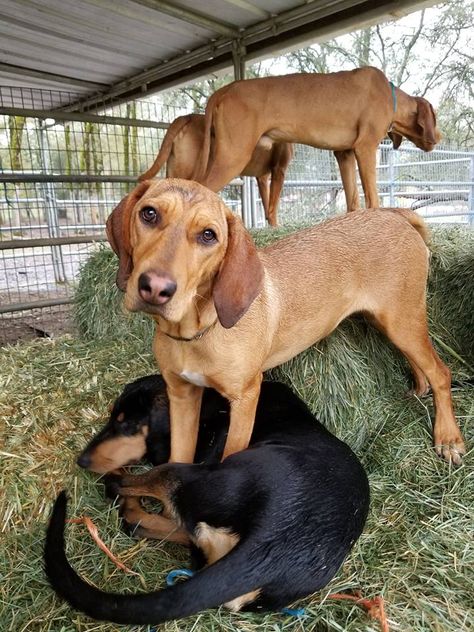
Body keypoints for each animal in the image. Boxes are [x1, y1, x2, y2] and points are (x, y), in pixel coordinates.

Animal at [44, 380, 370, 628]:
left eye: (126, 425)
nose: (82, 460)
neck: (211, 404)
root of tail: (275, 543)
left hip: (183, 473)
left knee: (131, 498)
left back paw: (119, 483)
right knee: (146, 523)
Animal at [105, 178, 464, 464]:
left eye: (208, 235)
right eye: (149, 214)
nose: (155, 288)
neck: (196, 332)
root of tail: (395, 213)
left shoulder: (246, 397)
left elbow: (232, 453)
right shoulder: (181, 397)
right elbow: (179, 457)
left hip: (402, 319)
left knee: (441, 372)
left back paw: (448, 437)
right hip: (389, 320)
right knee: (421, 363)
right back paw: (419, 388)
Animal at [137, 113, 292, 227]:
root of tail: (188, 116)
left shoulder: (263, 178)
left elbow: (267, 204)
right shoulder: (279, 170)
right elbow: (273, 205)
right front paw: (276, 226)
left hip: (176, 172)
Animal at [193, 66, 440, 211]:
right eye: (436, 117)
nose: (439, 136)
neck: (390, 95)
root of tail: (224, 90)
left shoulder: (344, 153)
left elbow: (353, 199)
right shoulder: (365, 147)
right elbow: (372, 197)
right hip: (233, 156)